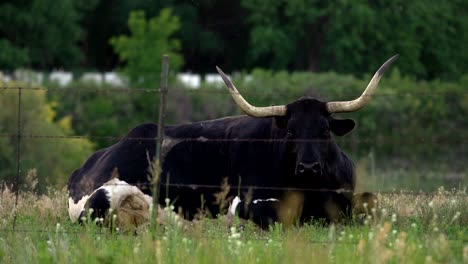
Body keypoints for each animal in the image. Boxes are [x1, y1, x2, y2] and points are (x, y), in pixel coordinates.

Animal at [68, 55, 398, 227]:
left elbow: (371, 202)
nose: (308, 167)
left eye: (325, 130)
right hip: (107, 196)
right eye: (290, 131)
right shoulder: (246, 201)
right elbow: (275, 214)